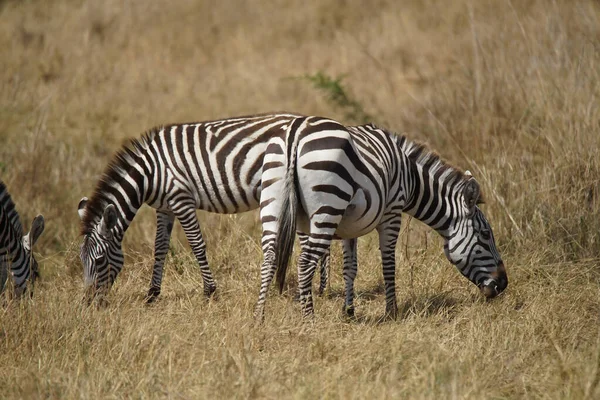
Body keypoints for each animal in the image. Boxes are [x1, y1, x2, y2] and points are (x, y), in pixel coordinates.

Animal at [76, 114, 332, 302]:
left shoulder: (181, 199)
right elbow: (160, 247)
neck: (150, 173)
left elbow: (197, 244)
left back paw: (317, 291)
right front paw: (152, 294)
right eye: (81, 261)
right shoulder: (165, 208)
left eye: (99, 260)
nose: (88, 303)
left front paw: (210, 291)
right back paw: (321, 289)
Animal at [253, 117, 506, 320]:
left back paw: (259, 316)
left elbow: (350, 267)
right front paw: (391, 311)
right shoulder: (392, 213)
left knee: (269, 257)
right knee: (305, 263)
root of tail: (295, 133)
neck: (411, 177)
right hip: (327, 208)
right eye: (485, 235)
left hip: (273, 204)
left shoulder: (349, 227)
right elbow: (389, 263)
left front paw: (349, 312)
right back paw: (309, 319)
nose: (503, 284)